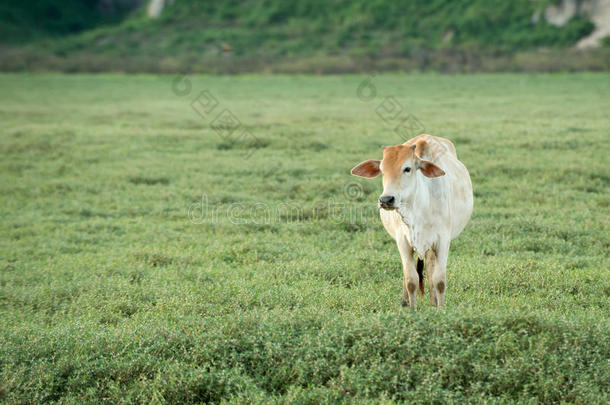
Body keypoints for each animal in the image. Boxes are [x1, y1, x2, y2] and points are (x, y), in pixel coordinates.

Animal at [350, 134, 472, 308]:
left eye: (407, 169)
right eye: (382, 170)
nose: (386, 199)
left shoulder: (443, 240)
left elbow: (439, 281)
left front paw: (441, 309)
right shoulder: (403, 241)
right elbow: (411, 280)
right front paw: (412, 310)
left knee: (430, 267)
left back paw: (433, 302)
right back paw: (405, 302)